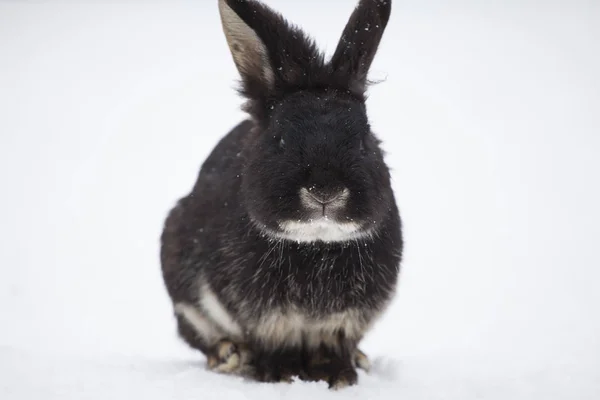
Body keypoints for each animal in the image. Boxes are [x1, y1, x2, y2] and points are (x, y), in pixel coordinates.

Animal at [162, 0, 400, 390]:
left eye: (365, 139)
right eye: (281, 140)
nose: (325, 189)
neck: (316, 243)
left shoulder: (343, 321)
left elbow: (332, 345)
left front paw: (338, 376)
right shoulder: (266, 318)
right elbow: (275, 343)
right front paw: (280, 374)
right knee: (198, 336)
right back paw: (230, 356)